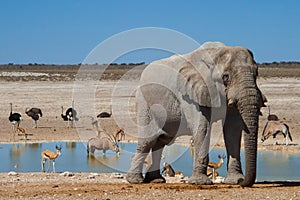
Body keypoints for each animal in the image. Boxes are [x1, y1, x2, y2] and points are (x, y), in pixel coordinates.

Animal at [126, 41, 264, 187]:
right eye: (225, 77)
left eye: (256, 74)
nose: (243, 182)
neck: (216, 53)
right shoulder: (190, 93)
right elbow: (202, 128)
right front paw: (200, 182)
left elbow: (233, 129)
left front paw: (235, 181)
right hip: (143, 102)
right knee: (148, 141)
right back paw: (136, 180)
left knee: (161, 141)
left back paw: (156, 180)